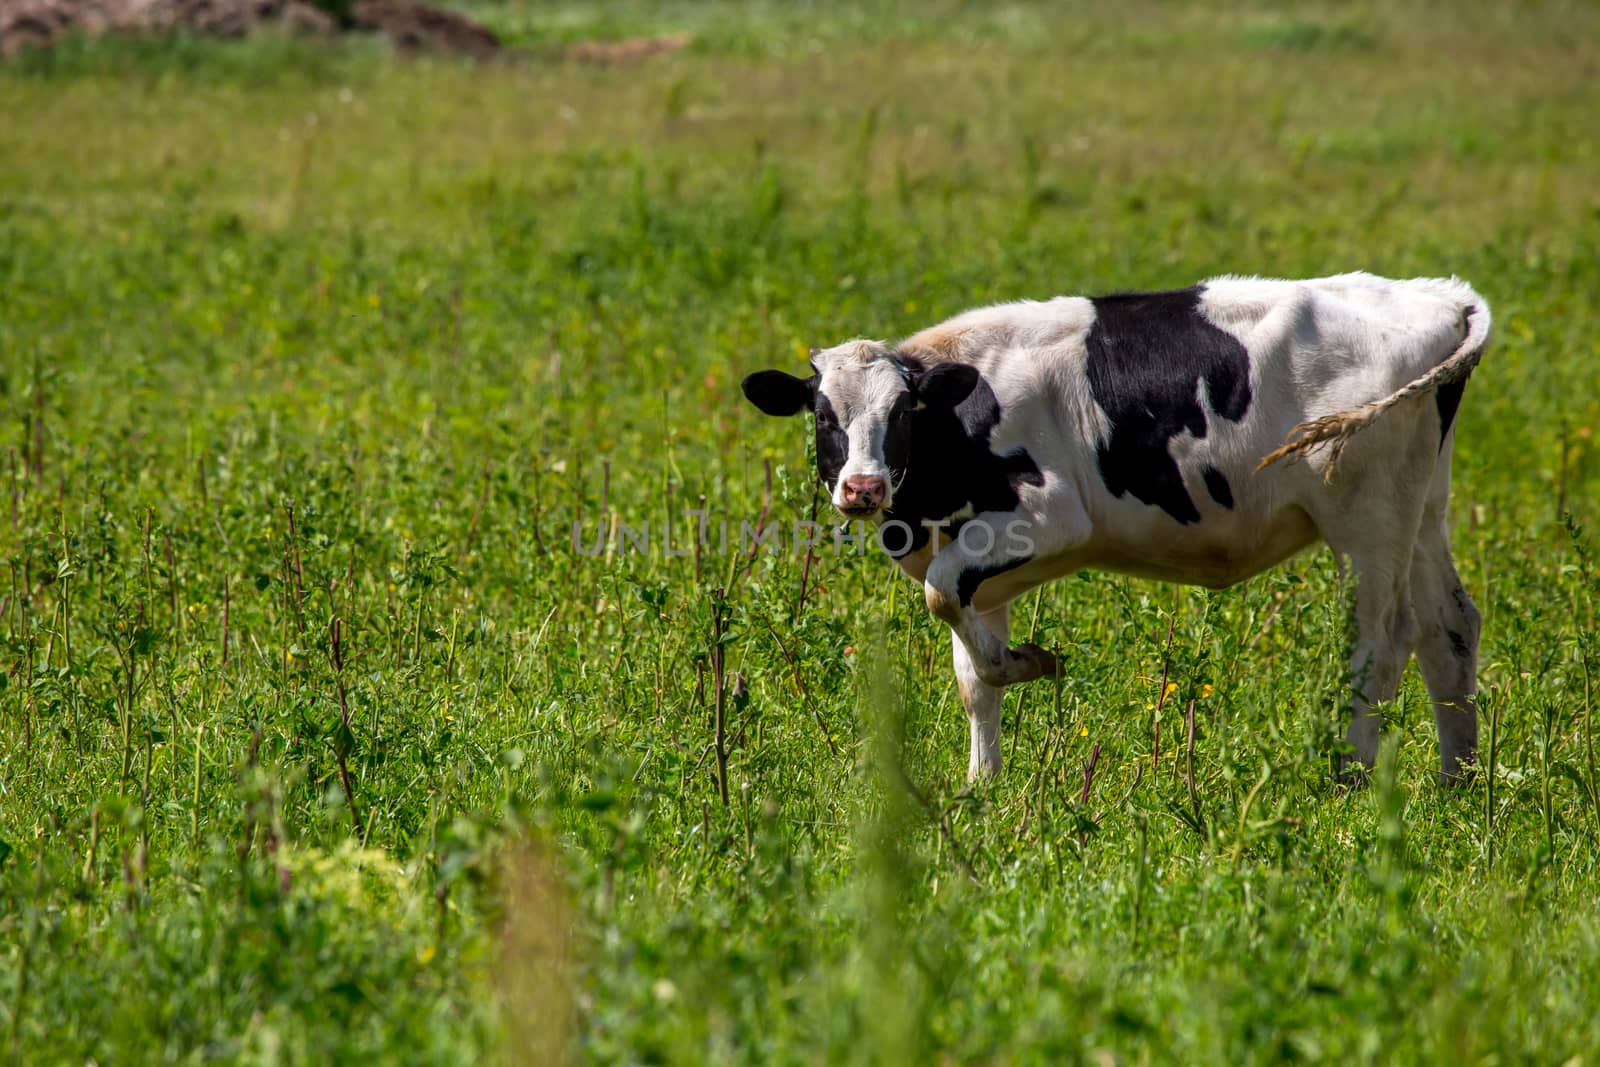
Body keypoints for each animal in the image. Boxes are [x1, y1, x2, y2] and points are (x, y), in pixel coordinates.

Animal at [742, 278, 1491, 783]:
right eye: (823, 415)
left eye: (902, 411)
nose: (862, 488)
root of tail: (1437, 296)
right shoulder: (973, 554)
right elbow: (972, 673)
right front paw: (982, 784)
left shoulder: (1047, 516)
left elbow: (943, 598)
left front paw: (1031, 663)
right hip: (1422, 504)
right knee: (1447, 628)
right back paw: (1455, 786)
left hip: (1367, 518)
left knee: (1381, 642)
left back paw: (1350, 782)